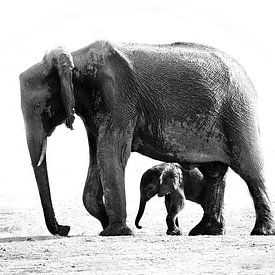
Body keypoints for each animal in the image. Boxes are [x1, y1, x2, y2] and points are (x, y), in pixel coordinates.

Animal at [20, 40, 274, 237]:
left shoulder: (118, 98)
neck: (75, 58)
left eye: (40, 106)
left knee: (251, 171)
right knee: (214, 173)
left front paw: (117, 232)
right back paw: (205, 232)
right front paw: (106, 226)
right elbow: (97, 159)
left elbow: (111, 155)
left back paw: (260, 232)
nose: (65, 228)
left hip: (239, 113)